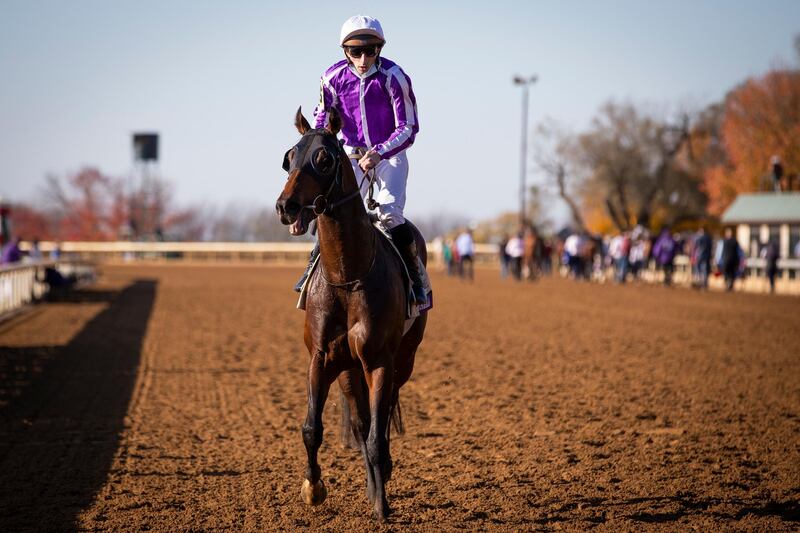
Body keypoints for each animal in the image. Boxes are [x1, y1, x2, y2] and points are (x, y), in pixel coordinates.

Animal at [276, 107, 428, 520]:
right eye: (289, 158)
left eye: (324, 159)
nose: (286, 207)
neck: (347, 276)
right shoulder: (322, 357)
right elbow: (313, 428)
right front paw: (313, 488)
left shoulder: (378, 360)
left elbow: (377, 434)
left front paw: (382, 505)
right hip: (348, 368)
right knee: (361, 423)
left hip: (404, 359)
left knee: (384, 416)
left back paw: (382, 477)